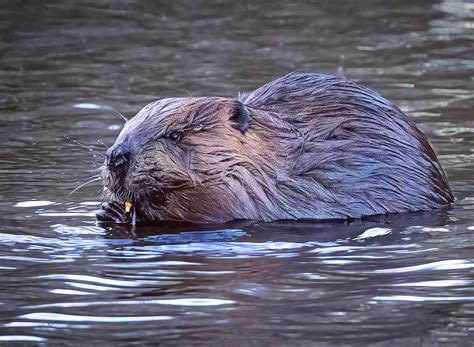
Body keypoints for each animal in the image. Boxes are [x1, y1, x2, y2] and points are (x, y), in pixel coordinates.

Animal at [94, 72, 454, 226]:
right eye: (125, 128)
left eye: (177, 134)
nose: (117, 156)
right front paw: (112, 209)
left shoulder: (253, 188)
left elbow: (216, 209)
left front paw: (126, 210)